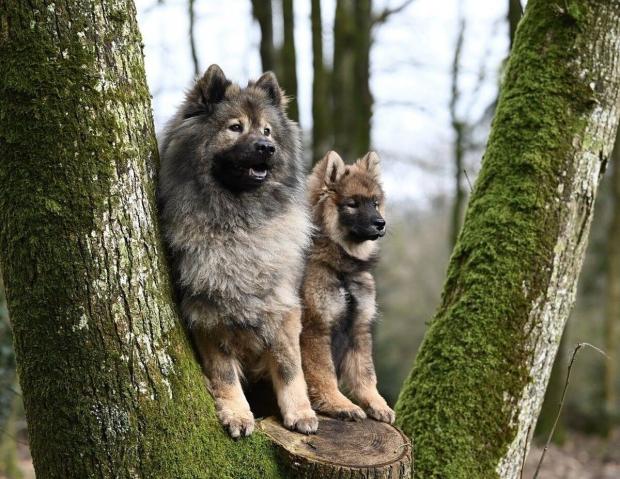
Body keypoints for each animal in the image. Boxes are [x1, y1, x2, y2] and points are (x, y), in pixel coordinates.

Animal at [157, 65, 318, 440]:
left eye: (267, 130)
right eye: (235, 127)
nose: (267, 147)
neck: (240, 227)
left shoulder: (282, 307)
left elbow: (289, 367)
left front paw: (300, 412)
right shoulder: (207, 314)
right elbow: (224, 373)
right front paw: (237, 414)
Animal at [300, 150, 392, 424]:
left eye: (374, 203)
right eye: (352, 204)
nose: (381, 223)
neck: (342, 270)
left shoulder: (359, 328)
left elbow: (366, 373)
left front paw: (377, 403)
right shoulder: (315, 328)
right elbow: (324, 372)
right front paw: (337, 403)